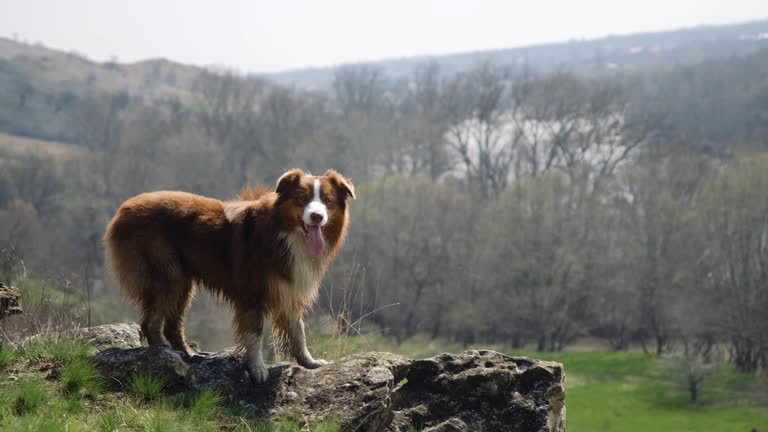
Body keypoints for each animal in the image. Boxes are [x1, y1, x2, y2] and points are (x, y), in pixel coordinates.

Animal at [103, 170, 354, 384]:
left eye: (327, 200)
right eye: (301, 198)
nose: (316, 216)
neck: (285, 233)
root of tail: (122, 209)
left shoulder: (289, 289)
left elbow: (297, 330)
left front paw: (309, 362)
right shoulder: (252, 292)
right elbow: (255, 333)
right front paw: (258, 370)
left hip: (184, 280)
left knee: (172, 324)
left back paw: (188, 355)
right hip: (166, 273)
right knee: (152, 322)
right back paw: (165, 354)